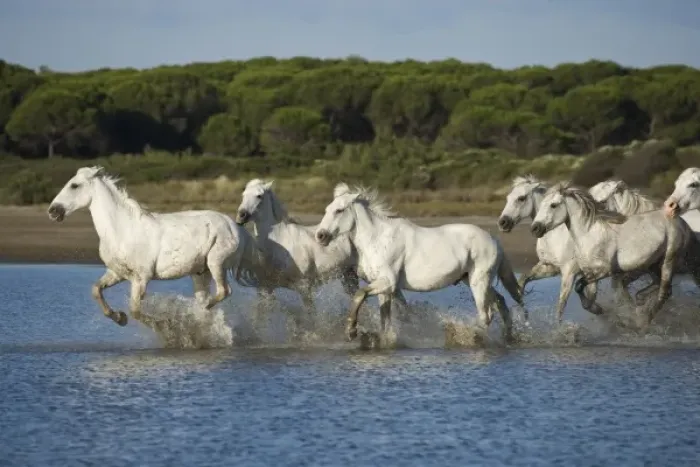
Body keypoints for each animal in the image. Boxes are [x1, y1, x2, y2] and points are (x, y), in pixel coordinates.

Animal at [47, 166, 259, 327]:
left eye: (74, 185)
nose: (53, 211)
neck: (122, 229)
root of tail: (235, 227)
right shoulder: (117, 273)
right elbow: (96, 290)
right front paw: (119, 318)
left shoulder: (141, 278)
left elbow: (135, 311)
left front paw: (165, 324)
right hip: (200, 272)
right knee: (208, 299)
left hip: (216, 262)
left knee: (223, 291)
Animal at [235, 179, 409, 318]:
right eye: (243, 195)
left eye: (259, 196)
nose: (241, 216)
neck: (279, 243)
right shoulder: (266, 289)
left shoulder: (304, 288)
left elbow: (311, 318)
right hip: (350, 278)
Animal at [314, 183, 526, 344]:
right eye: (326, 210)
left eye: (339, 210)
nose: (321, 236)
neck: (377, 239)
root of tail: (494, 240)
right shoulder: (384, 287)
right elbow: (385, 320)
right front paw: (383, 340)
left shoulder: (388, 282)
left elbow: (359, 294)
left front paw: (351, 331)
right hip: (473, 280)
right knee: (500, 301)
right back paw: (508, 337)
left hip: (479, 282)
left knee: (486, 315)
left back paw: (466, 336)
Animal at [531, 182, 700, 326]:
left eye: (553, 205)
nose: (535, 228)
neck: (589, 234)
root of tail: (682, 222)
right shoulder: (590, 273)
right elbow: (586, 296)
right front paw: (600, 311)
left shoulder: (605, 271)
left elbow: (578, 285)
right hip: (652, 264)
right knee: (661, 287)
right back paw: (640, 303)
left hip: (668, 260)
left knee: (664, 292)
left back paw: (643, 322)